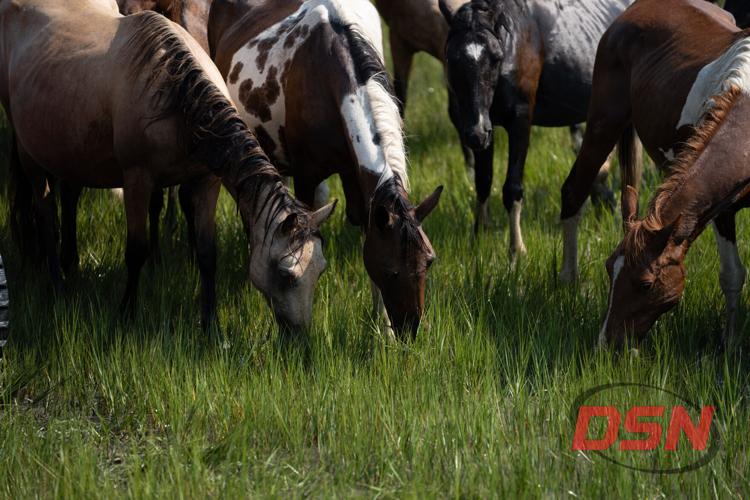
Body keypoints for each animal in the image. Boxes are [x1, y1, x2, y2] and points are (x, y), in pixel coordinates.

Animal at [0, 0, 336, 333]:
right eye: (285, 274)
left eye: (320, 271)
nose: (299, 336)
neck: (176, 97)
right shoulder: (136, 180)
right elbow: (136, 250)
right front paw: (126, 314)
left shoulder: (207, 181)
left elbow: (207, 251)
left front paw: (210, 324)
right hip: (29, 154)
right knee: (45, 215)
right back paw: (57, 285)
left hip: (71, 151)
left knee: (68, 196)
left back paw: (70, 263)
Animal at [208, 0, 443, 337]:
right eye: (391, 271)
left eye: (429, 261)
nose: (409, 329)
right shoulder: (306, 177)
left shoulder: (355, 177)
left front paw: (382, 327)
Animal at [438, 0, 631, 256]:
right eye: (451, 58)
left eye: (496, 57)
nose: (476, 133)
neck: (512, 44)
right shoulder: (483, 129)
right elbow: (483, 182)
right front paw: (479, 237)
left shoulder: (520, 120)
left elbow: (512, 188)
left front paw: (517, 250)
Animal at [558, 0, 750, 348]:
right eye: (608, 268)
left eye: (645, 284)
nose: (608, 343)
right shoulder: (721, 208)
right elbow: (732, 275)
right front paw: (730, 344)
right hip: (602, 125)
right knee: (574, 192)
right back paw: (568, 282)